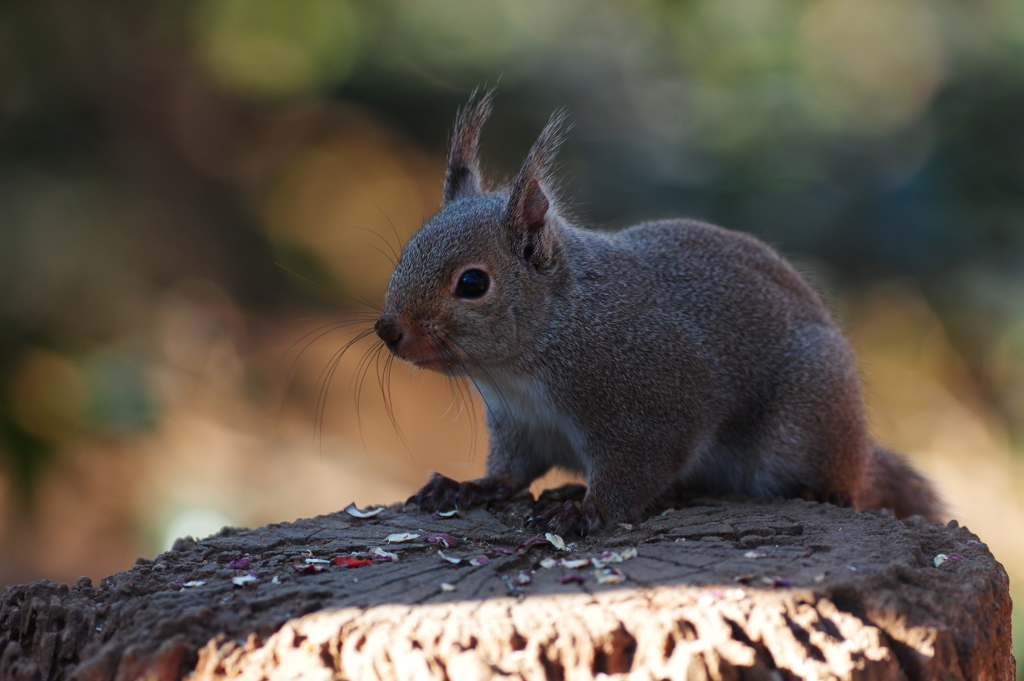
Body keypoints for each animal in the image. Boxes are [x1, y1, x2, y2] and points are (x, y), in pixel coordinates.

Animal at [372, 91, 937, 536]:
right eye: (407, 252)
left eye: (473, 283)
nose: (388, 329)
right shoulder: (520, 424)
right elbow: (511, 473)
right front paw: (469, 486)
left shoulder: (654, 407)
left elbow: (637, 471)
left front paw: (587, 512)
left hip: (807, 419)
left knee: (843, 480)